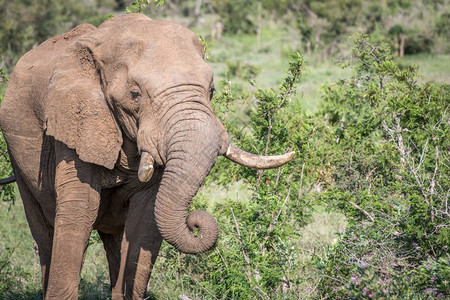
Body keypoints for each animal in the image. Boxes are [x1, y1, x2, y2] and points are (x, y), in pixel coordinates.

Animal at [0, 13, 294, 298]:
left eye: (211, 90)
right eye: (135, 94)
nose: (196, 223)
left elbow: (145, 222)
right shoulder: (74, 124)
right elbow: (78, 212)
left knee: (115, 239)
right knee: (44, 233)